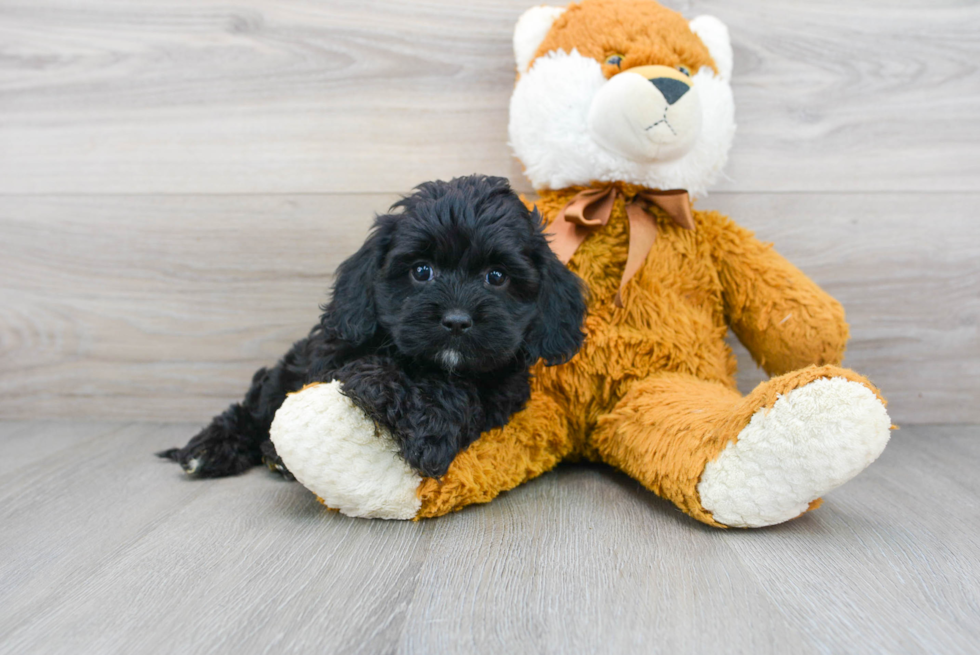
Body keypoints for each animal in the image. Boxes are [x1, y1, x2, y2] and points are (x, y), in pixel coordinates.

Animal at [160, 177, 584, 480]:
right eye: (421, 271)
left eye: (496, 276)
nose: (456, 320)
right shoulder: (329, 354)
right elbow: (366, 365)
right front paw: (385, 386)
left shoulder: (502, 393)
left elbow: (466, 396)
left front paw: (429, 428)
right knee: (252, 408)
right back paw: (209, 450)